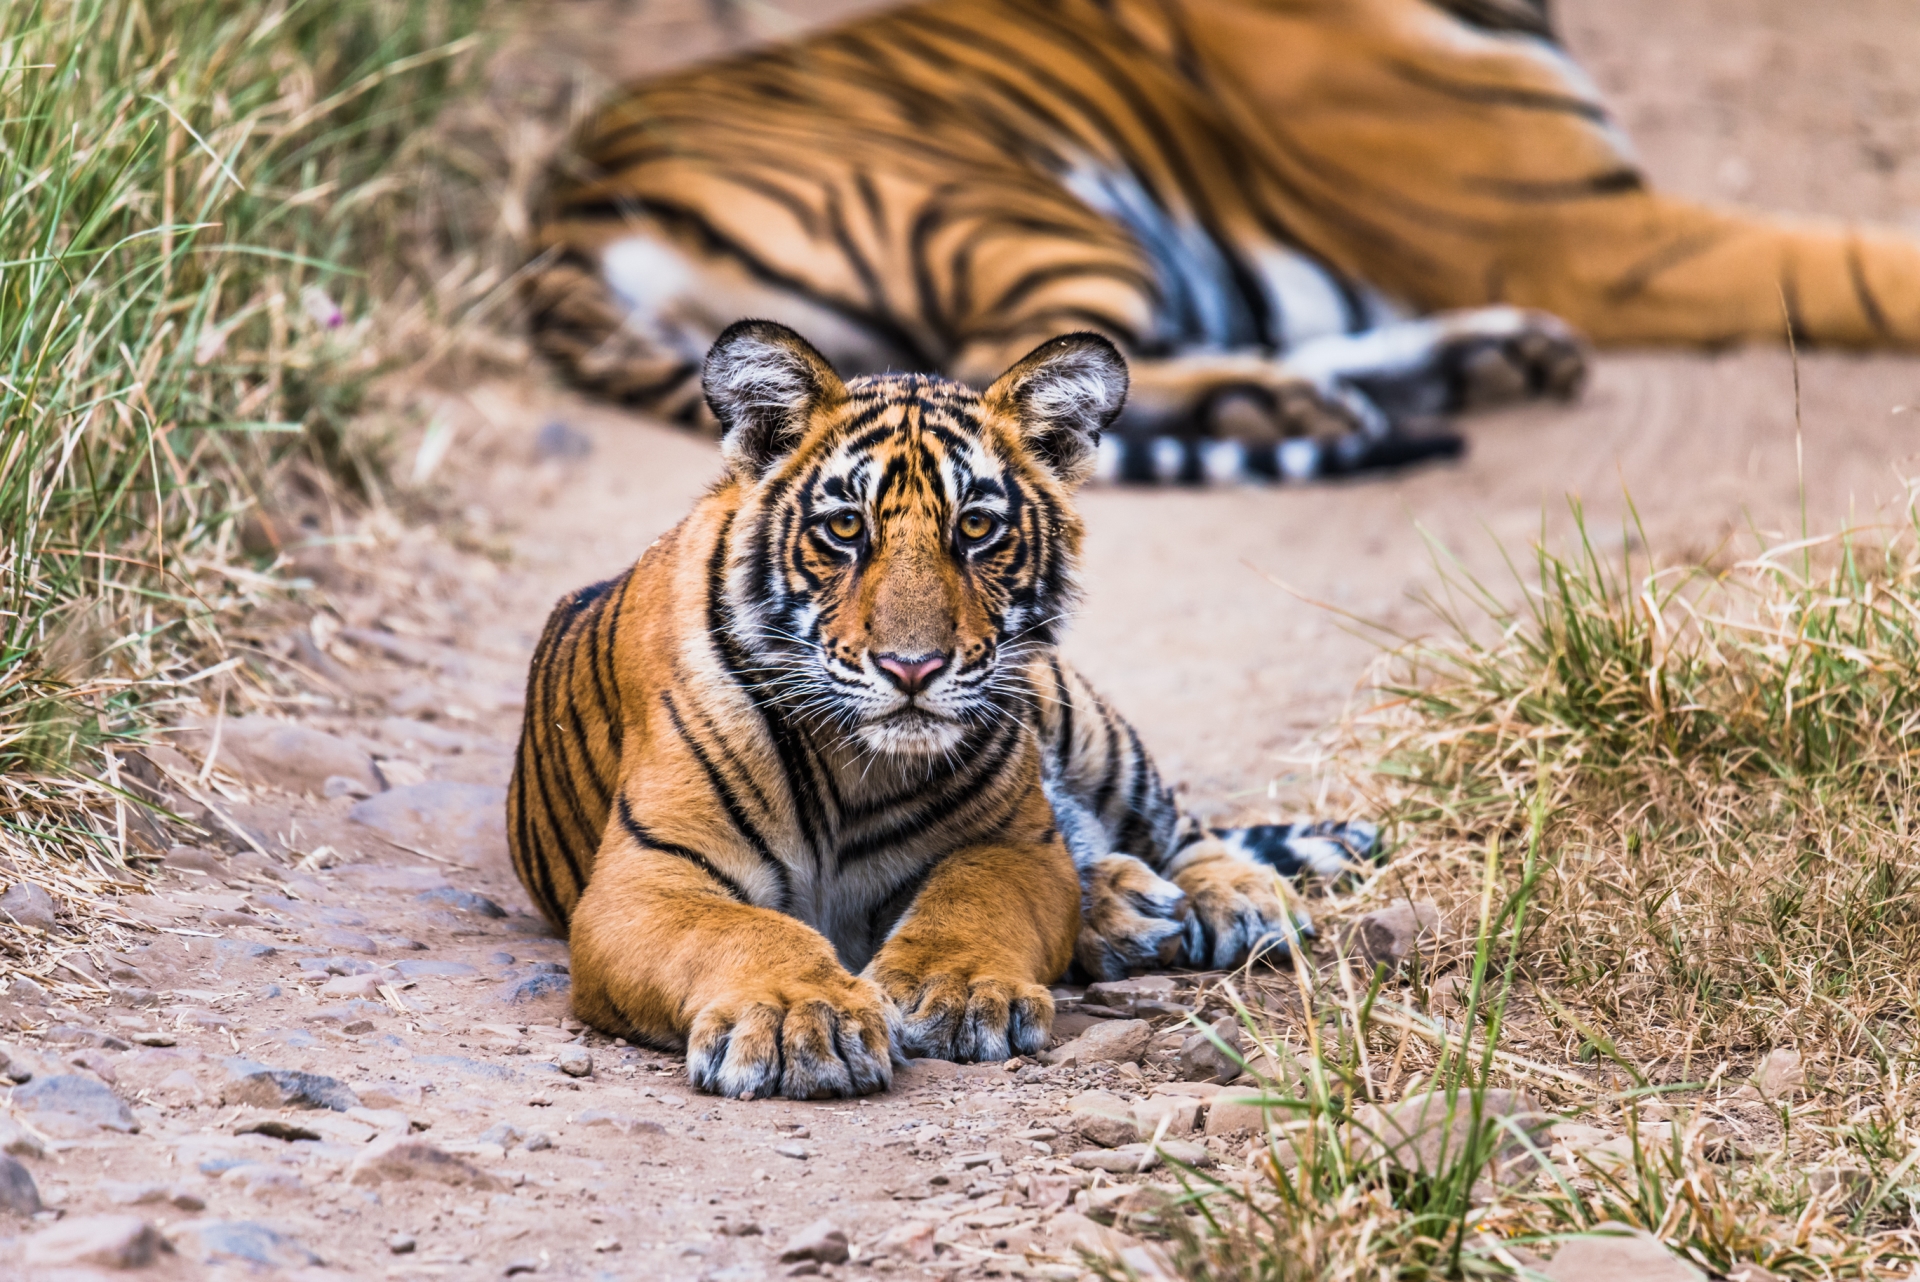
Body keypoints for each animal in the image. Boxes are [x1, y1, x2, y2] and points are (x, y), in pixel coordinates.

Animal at [507, 319, 1373, 1097]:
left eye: (978, 527)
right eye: (844, 527)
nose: (912, 667)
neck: (851, 766)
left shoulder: (1016, 843)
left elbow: (971, 900)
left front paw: (952, 992)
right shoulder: (648, 879)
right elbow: (744, 929)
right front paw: (798, 1017)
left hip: (1086, 725)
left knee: (1177, 828)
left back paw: (1232, 900)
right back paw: (1126, 912)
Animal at [523, 0, 1920, 485]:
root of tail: (565, 197)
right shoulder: (1589, 231)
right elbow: (1849, 260)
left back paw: (1475, 365)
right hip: (1027, 211)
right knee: (999, 385)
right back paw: (1283, 401)